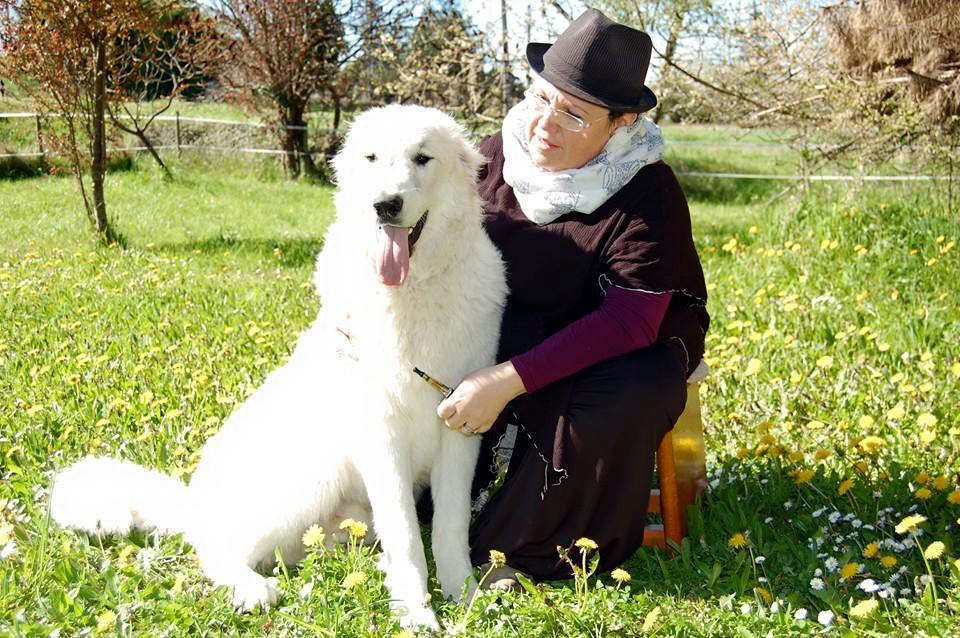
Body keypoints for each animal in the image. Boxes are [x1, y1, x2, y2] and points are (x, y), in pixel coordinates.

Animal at [48, 105, 510, 632]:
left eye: (423, 158)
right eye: (372, 158)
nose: (385, 205)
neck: (412, 289)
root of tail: (194, 501)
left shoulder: (459, 429)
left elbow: (450, 530)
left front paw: (464, 596)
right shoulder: (380, 434)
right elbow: (408, 538)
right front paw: (415, 612)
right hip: (312, 476)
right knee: (211, 548)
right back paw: (252, 590)